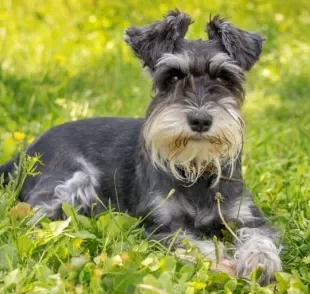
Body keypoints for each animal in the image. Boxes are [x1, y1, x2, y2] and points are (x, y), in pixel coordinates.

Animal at [0, 10, 280, 284]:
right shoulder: (159, 225)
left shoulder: (249, 218)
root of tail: (24, 152)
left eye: (223, 76)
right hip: (71, 179)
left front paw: (260, 263)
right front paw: (222, 263)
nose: (200, 120)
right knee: (32, 219)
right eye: (173, 76)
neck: (196, 169)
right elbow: (193, 244)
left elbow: (261, 238)